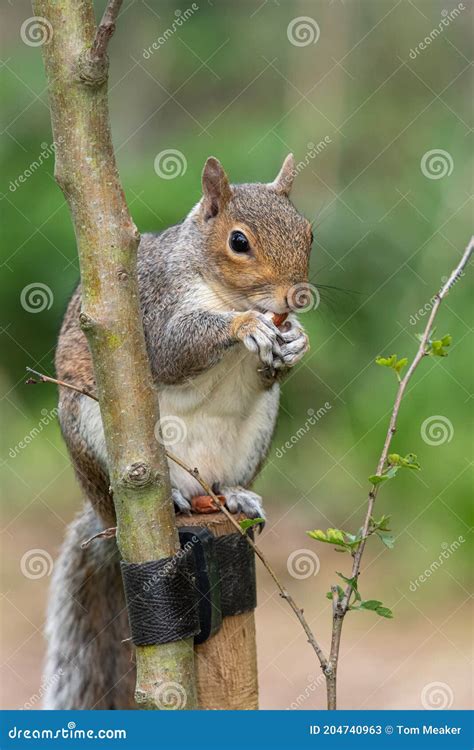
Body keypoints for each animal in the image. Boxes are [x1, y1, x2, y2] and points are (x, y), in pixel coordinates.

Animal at [42, 154, 312, 712]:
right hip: (91, 431)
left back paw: (234, 496)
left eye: (308, 232)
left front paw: (295, 341)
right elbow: (171, 348)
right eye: (238, 241)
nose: (294, 298)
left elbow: (268, 369)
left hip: (252, 439)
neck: (221, 291)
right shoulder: (153, 302)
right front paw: (244, 326)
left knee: (226, 482)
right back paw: (170, 496)